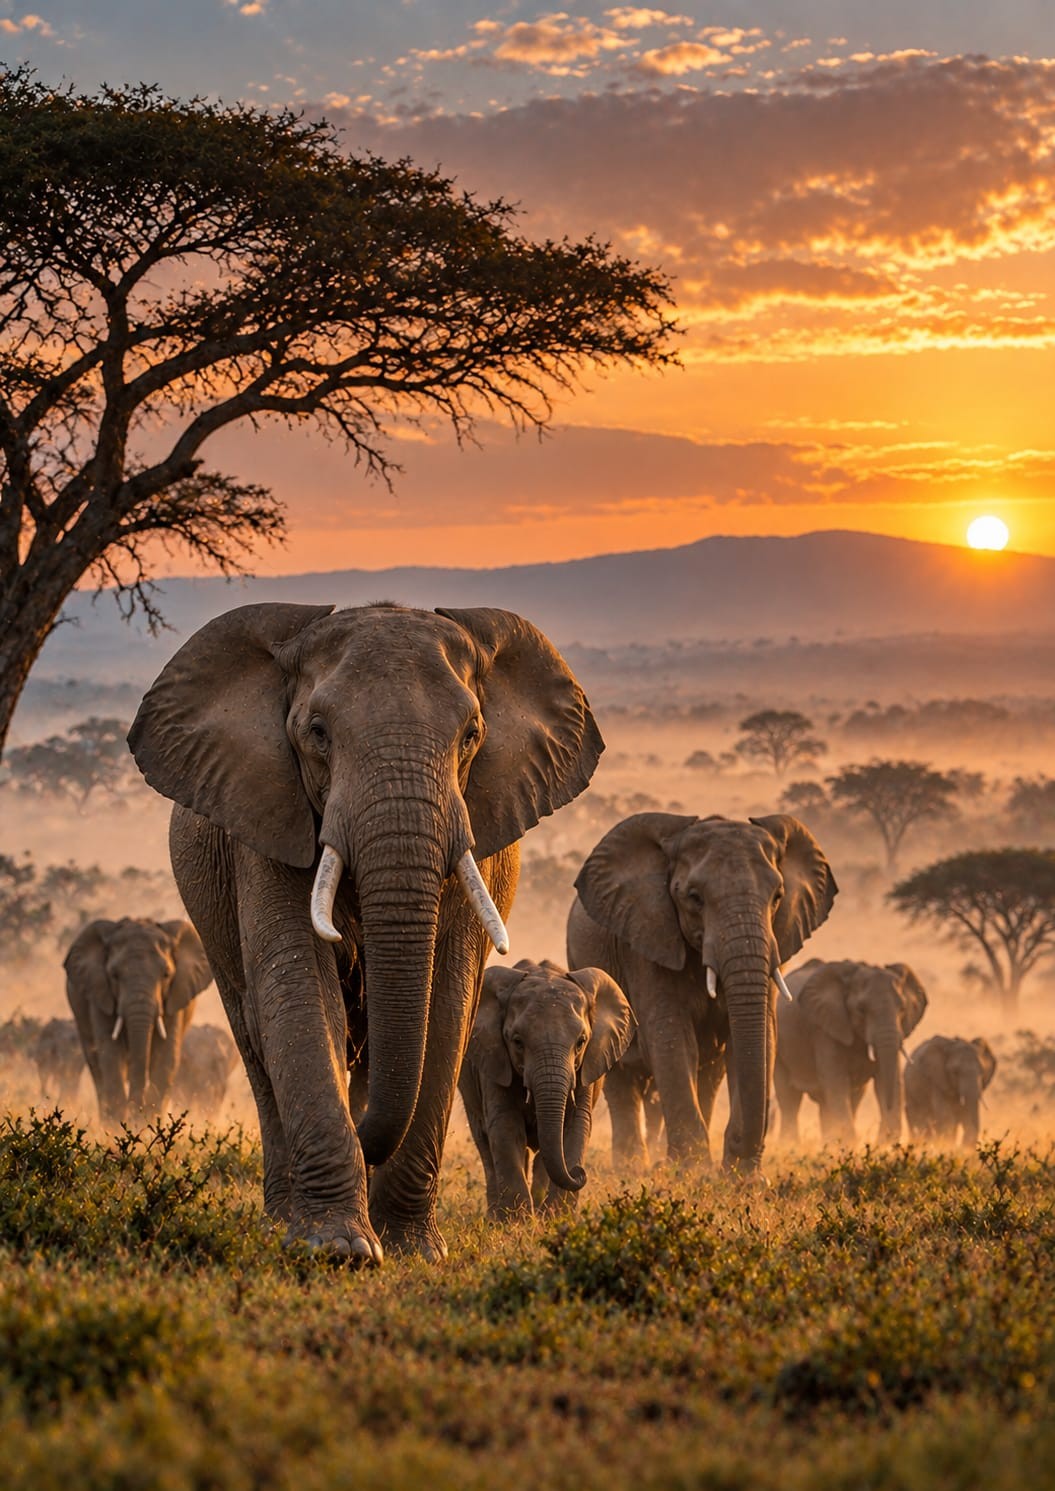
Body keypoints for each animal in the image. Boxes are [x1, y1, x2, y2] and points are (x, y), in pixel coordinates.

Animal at [64, 917, 213, 1125]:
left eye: (166, 975)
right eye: (114, 975)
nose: (137, 1109)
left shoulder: (175, 998)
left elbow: (166, 1054)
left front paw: (147, 1122)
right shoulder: (99, 992)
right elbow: (110, 1053)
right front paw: (118, 1126)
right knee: (96, 1066)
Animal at [128, 601, 602, 1264]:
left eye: (471, 736)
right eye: (317, 733)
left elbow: (445, 1008)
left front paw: (412, 1250)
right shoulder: (266, 819)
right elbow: (299, 994)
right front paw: (339, 1249)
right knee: (255, 1039)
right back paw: (283, 1220)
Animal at [458, 957, 634, 1218]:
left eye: (581, 1042)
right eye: (517, 1042)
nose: (580, 1172)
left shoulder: (584, 1071)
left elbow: (576, 1126)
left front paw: (556, 1218)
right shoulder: (494, 1061)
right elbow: (505, 1125)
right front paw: (517, 1223)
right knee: (485, 1142)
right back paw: (495, 1217)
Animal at [567, 812, 837, 1175]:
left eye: (778, 896)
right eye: (694, 897)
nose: (735, 1144)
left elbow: (757, 1038)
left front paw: (742, 1178)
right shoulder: (648, 939)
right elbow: (672, 1039)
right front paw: (691, 1173)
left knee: (709, 1074)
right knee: (621, 1080)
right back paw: (632, 1167)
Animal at [773, 958, 928, 1144]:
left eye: (903, 1009)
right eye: (861, 1010)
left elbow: (885, 1079)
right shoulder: (825, 1030)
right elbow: (836, 1082)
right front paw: (848, 1143)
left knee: (843, 1100)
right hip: (780, 1049)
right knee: (789, 1099)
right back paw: (791, 1143)